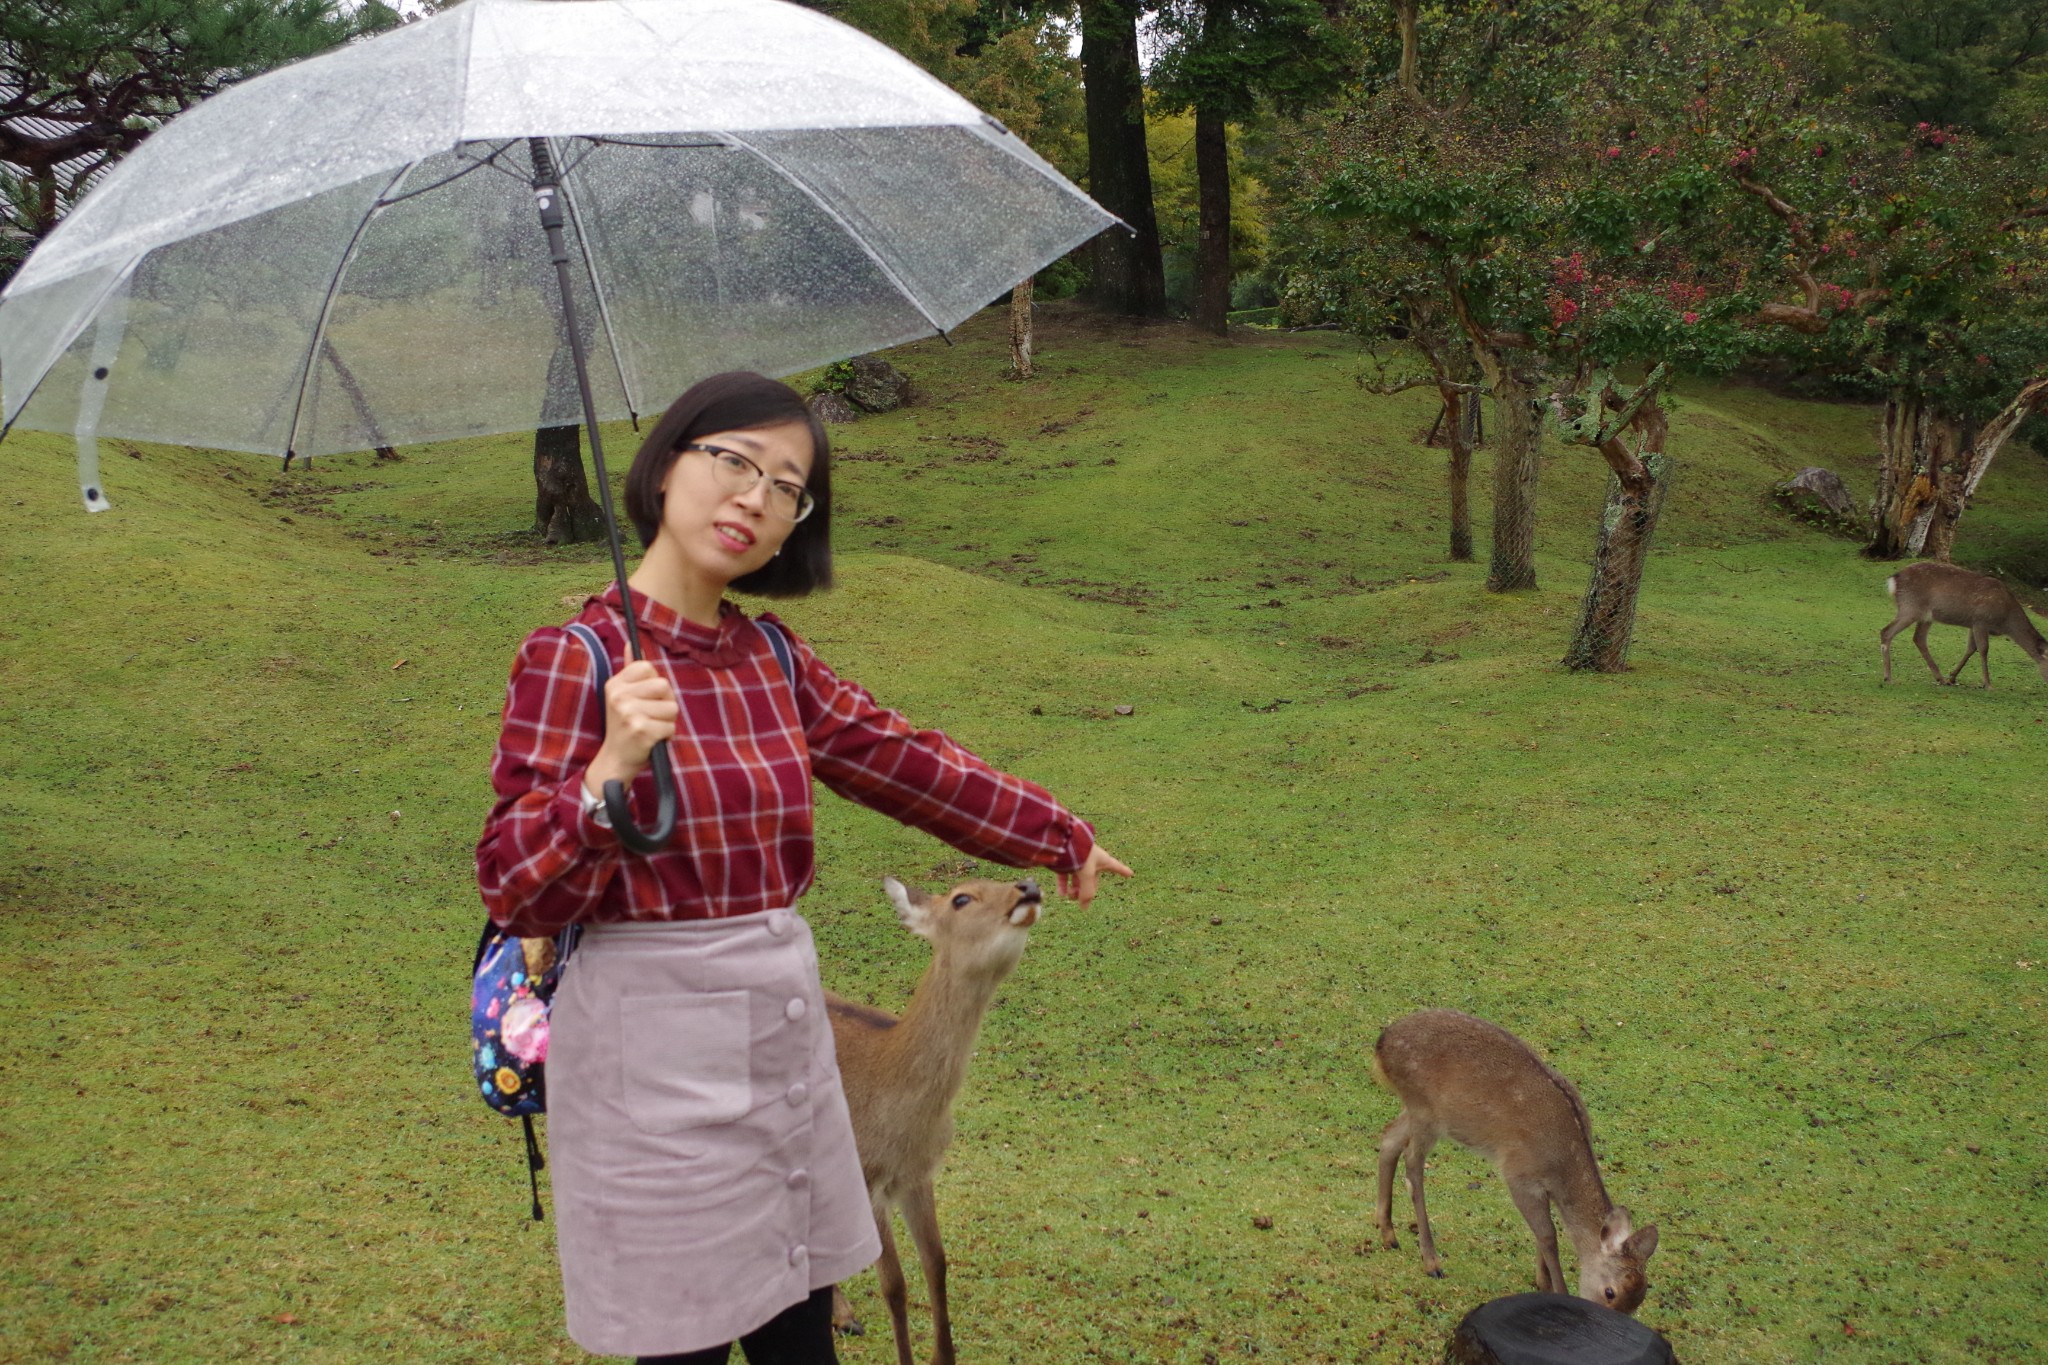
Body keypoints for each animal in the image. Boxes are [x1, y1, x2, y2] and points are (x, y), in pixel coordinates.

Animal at [823, 875, 1040, 1365]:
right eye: (961, 898)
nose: (1030, 885)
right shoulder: (868, 1178)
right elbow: (895, 1285)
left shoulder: (918, 1174)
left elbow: (937, 1263)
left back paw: (843, 1316)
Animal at [1368, 1015, 1654, 1309]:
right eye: (1610, 1292)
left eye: (1639, 1300)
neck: (1561, 1165)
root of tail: (1381, 1045)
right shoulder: (1519, 1174)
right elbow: (1548, 1235)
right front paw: (1556, 1289)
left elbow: (1543, 1233)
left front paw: (1542, 1280)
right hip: (1426, 1110)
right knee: (1413, 1165)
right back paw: (1431, 1261)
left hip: (1417, 1110)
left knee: (1389, 1138)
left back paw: (1388, 1234)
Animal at [1884, 556, 2048, 687]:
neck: (2005, 621)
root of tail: (1894, 579)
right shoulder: (1981, 621)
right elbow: (1983, 649)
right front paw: (1988, 684)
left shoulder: (1972, 624)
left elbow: (1970, 648)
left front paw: (1952, 677)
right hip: (1910, 607)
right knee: (1886, 632)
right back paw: (1888, 678)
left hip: (1926, 616)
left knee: (1919, 638)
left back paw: (1940, 678)